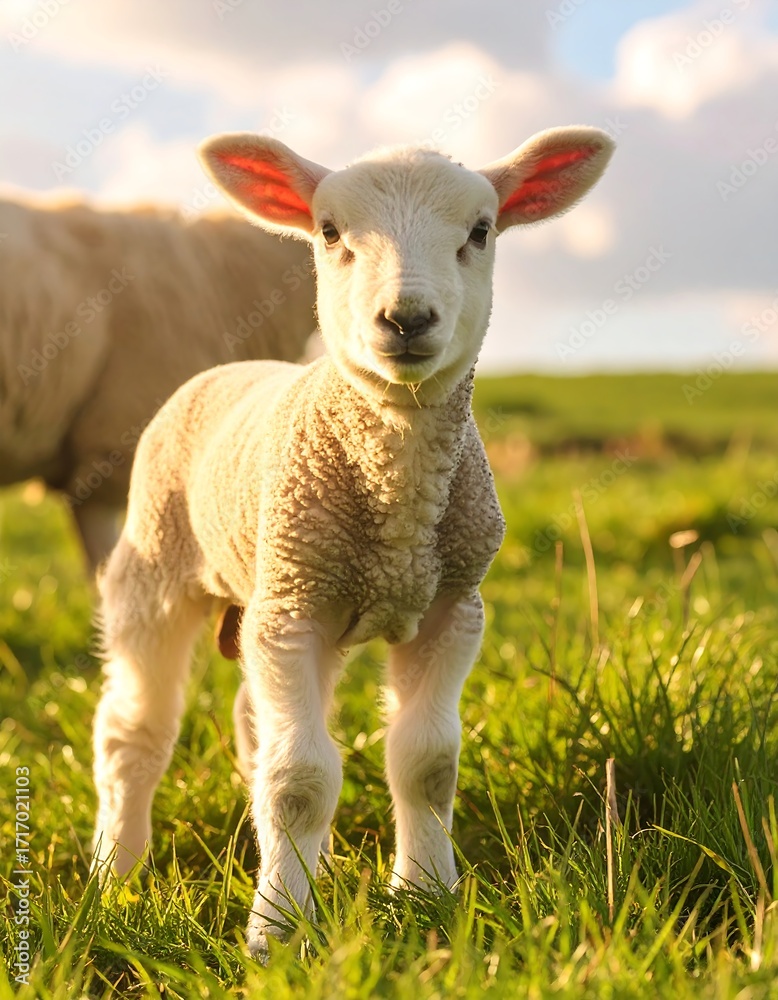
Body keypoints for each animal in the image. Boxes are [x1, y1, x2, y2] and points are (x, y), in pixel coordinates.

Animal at [90, 125, 614, 956]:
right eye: (330, 232)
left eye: (481, 231)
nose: (406, 318)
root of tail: (234, 366)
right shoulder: (296, 608)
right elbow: (301, 782)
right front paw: (276, 935)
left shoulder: (449, 607)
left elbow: (426, 763)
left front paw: (426, 893)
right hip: (163, 565)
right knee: (133, 733)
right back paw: (116, 876)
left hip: (289, 597)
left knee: (253, 726)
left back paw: (316, 866)